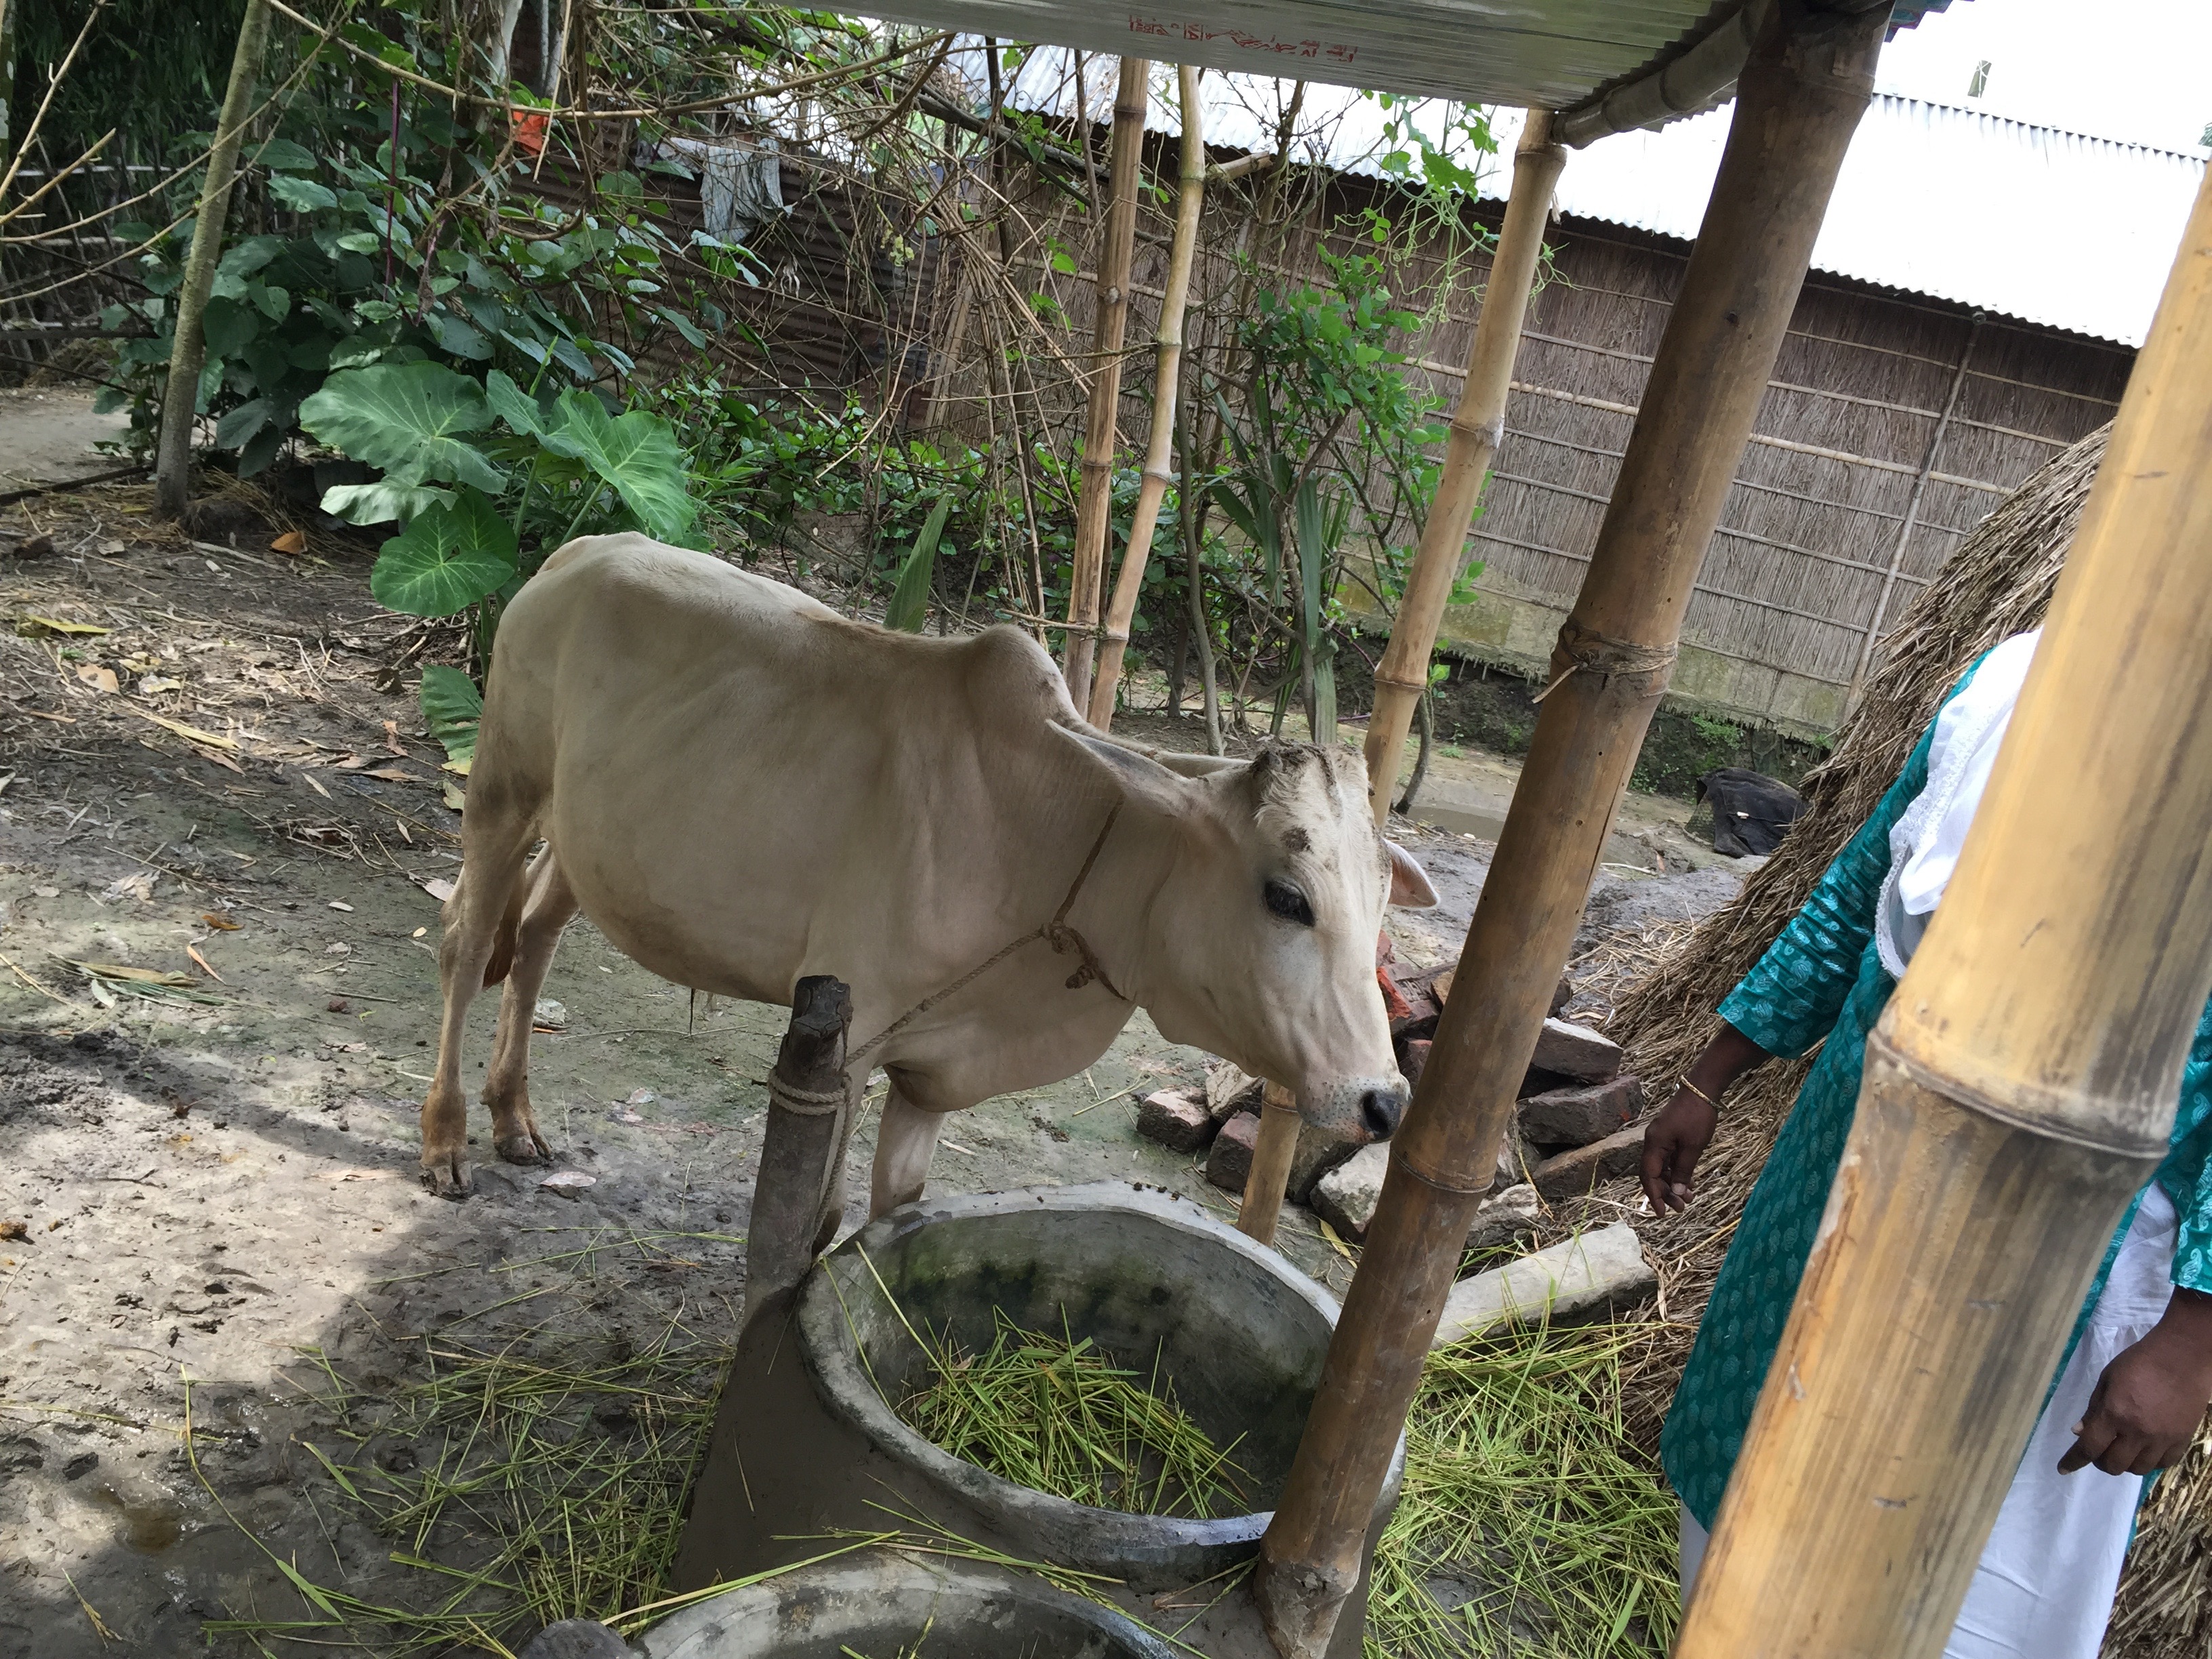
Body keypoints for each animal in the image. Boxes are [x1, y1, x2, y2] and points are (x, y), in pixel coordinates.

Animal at [418, 535, 1438, 1231]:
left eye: (1381, 907)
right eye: (1287, 897)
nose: (1384, 1100)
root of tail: (583, 549)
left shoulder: (933, 1076)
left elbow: (895, 1211)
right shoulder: (844, 1045)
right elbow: (815, 1222)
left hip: (588, 839)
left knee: (536, 933)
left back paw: (516, 1120)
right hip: (503, 788)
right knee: (467, 943)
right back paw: (447, 1137)